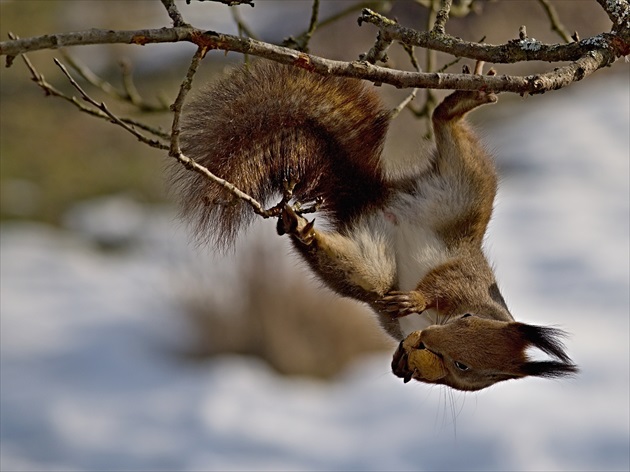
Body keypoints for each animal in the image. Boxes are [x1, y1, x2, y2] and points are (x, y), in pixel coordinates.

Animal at [175, 60, 580, 390]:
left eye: (463, 365)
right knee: (444, 123)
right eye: (465, 319)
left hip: (372, 261)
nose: (426, 340)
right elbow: (442, 282)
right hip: (466, 187)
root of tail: (378, 201)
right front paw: (418, 299)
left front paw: (403, 362)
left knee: (352, 269)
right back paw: (465, 99)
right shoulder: (467, 280)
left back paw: (303, 233)